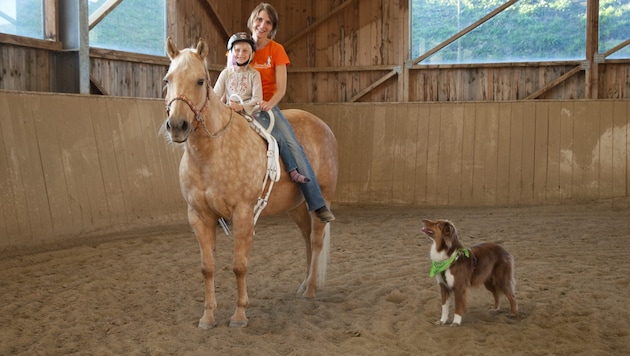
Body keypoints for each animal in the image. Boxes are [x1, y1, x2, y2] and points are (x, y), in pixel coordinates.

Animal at [165, 37, 338, 330]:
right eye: (167, 80)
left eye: (200, 81)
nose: (177, 125)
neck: (211, 152)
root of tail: (323, 125)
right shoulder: (199, 216)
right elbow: (207, 267)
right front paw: (207, 317)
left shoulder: (243, 213)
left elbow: (239, 265)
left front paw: (239, 315)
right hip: (295, 206)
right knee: (306, 239)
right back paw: (304, 285)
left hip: (321, 197)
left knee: (316, 240)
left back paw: (311, 290)